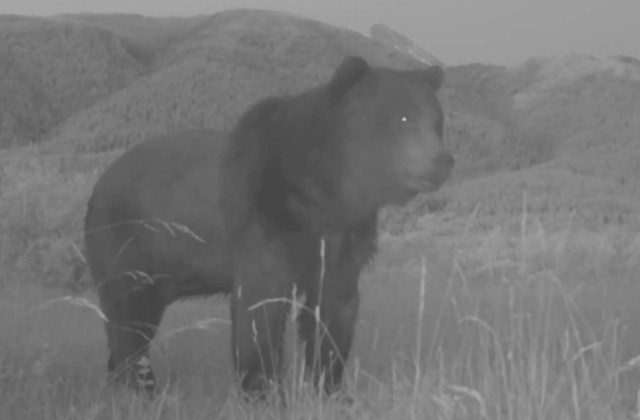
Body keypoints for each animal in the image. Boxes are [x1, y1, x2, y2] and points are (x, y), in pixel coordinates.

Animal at [83, 55, 454, 399]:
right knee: (127, 316)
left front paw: (329, 387)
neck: (328, 187)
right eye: (403, 117)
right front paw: (264, 390)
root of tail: (98, 186)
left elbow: (334, 310)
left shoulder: (345, 237)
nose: (442, 160)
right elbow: (260, 307)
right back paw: (141, 387)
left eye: (438, 121)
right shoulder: (268, 219)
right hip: (126, 243)